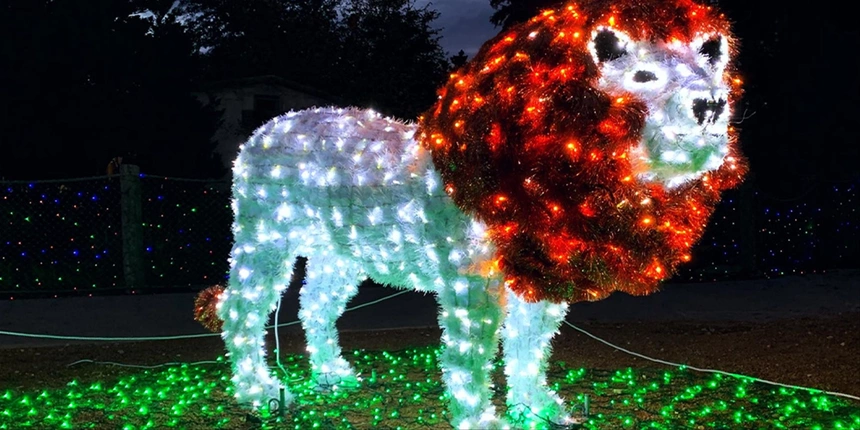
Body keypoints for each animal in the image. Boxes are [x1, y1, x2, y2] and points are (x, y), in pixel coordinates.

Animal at [215, 0, 744, 426]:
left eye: (708, 69)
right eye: (644, 76)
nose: (710, 104)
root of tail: (264, 130)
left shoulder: (537, 279)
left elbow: (529, 348)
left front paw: (538, 408)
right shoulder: (473, 279)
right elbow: (470, 354)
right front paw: (480, 419)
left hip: (338, 253)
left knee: (315, 306)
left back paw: (332, 375)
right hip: (265, 238)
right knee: (241, 309)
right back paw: (260, 393)